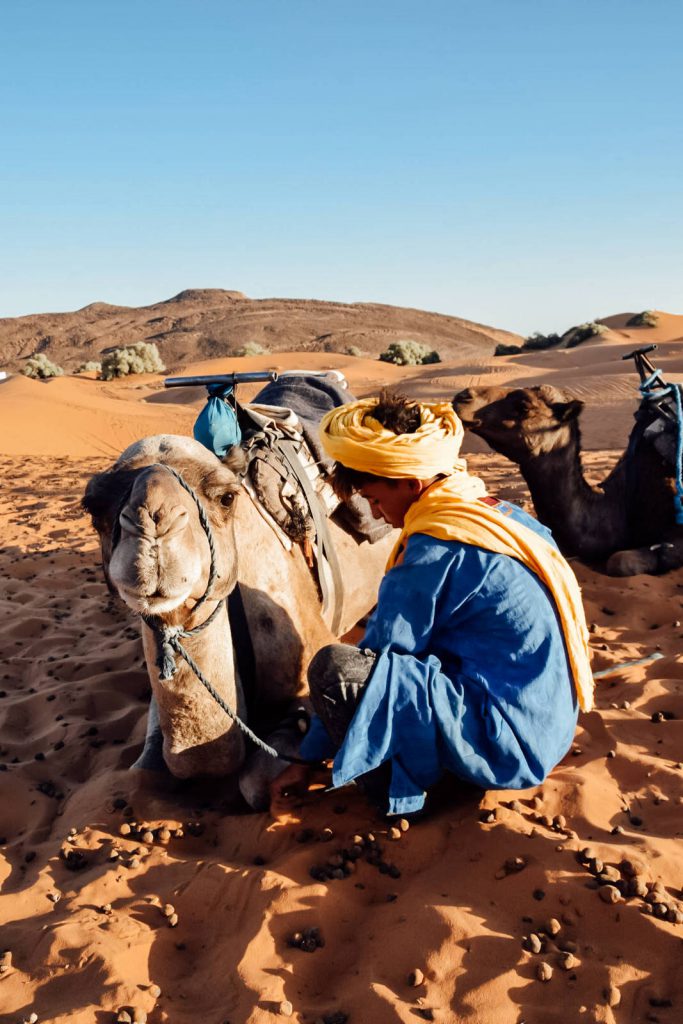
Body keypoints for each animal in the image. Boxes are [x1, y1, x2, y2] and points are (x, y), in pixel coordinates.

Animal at [81, 432, 393, 798]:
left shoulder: (312, 646)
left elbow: (251, 783)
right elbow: (143, 773)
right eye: (93, 506)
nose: (153, 523)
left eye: (227, 498)